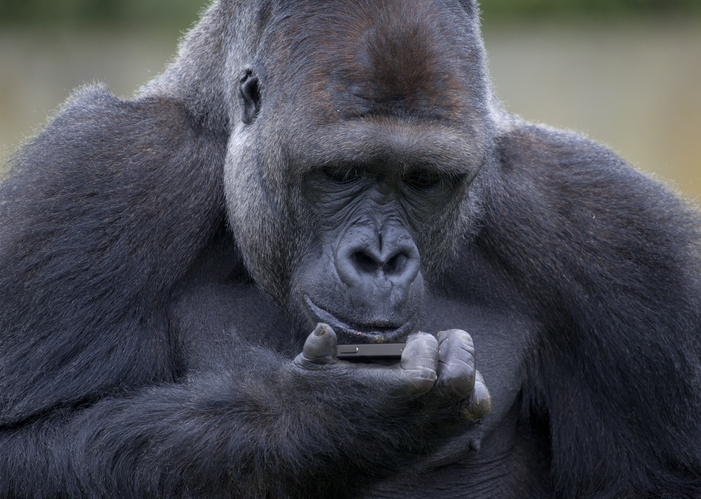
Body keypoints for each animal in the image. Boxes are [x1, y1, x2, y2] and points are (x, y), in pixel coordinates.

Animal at [1, 0, 700, 498]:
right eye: (342, 173)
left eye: (423, 180)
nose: (382, 259)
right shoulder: (102, 174)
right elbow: (23, 448)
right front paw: (333, 421)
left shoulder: (612, 232)